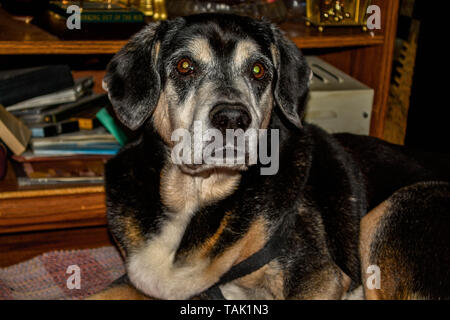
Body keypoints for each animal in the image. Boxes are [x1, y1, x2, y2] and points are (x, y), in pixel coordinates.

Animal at [89, 13, 450, 300]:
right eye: (184, 66)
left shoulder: (318, 275)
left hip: (394, 210)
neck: (196, 198)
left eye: (259, 70)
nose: (232, 118)